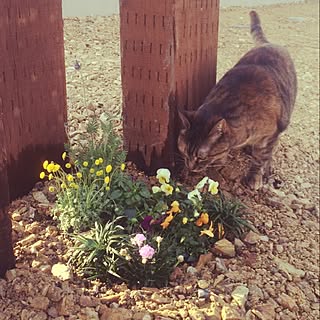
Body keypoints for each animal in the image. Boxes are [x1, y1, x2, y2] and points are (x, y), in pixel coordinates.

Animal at [178, 10, 298, 190]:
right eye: (185, 152)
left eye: (201, 157)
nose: (190, 167)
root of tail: (269, 44)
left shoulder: (269, 136)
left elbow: (260, 158)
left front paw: (254, 176)